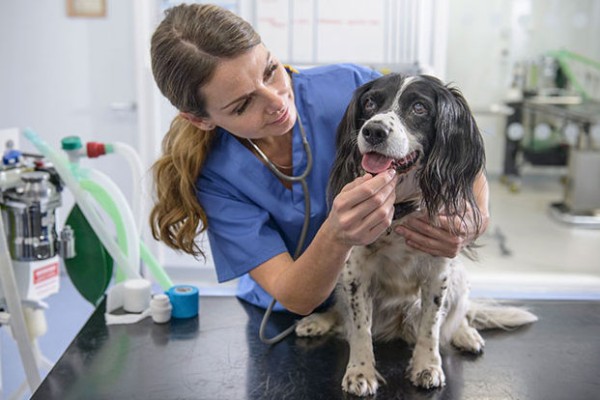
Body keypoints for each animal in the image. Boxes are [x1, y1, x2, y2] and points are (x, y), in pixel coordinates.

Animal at [298, 74, 536, 396]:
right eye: (370, 102)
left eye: (420, 108)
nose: (373, 130)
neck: (400, 208)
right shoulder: (355, 272)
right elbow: (359, 329)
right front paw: (360, 371)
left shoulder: (438, 273)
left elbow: (431, 327)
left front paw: (427, 366)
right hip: (340, 278)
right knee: (342, 313)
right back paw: (318, 321)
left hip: (458, 276)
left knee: (459, 314)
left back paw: (466, 334)